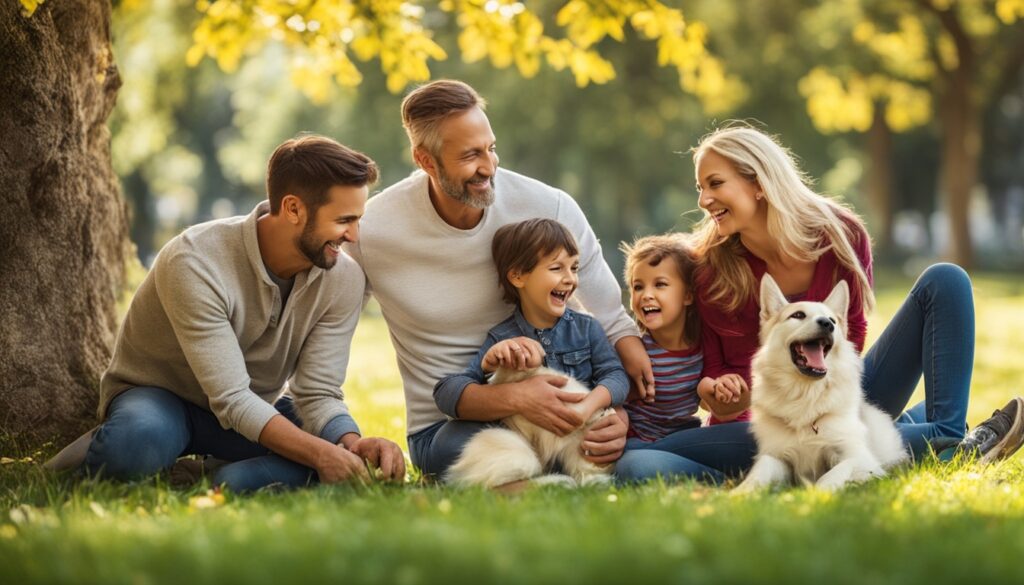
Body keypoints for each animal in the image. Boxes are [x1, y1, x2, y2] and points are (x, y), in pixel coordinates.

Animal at [733, 276, 909, 491]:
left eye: (832, 320)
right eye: (798, 315)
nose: (827, 324)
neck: (806, 393)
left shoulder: (859, 457)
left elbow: (832, 475)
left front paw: (817, 495)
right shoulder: (776, 455)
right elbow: (759, 471)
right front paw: (740, 492)